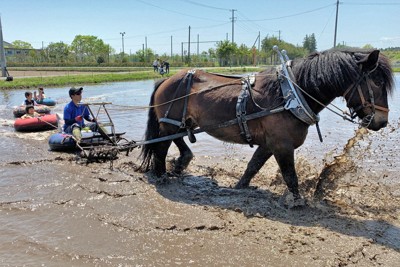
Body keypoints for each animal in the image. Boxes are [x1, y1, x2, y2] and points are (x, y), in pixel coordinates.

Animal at [140, 48, 394, 203]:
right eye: (377, 82)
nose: (382, 122)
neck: (290, 94)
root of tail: (166, 79)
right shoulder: (282, 146)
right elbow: (290, 176)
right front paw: (298, 203)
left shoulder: (268, 144)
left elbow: (252, 167)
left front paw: (238, 188)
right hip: (170, 123)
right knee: (161, 148)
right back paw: (162, 174)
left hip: (179, 123)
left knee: (176, 141)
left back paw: (181, 163)